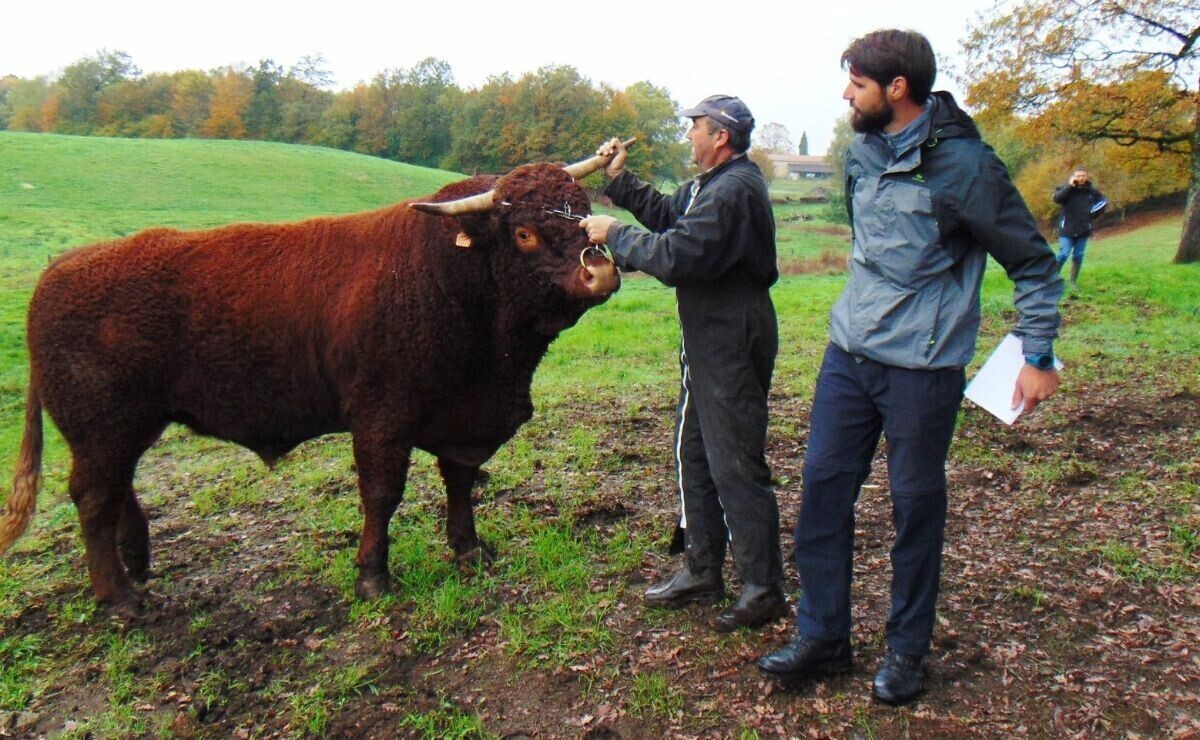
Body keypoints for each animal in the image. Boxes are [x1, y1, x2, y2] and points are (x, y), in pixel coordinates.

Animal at [2, 146, 628, 614]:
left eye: (581, 209)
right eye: (524, 233)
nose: (600, 271)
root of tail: (62, 266)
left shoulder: (463, 414)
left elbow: (460, 479)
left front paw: (469, 549)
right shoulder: (382, 415)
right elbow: (382, 493)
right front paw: (373, 576)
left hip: (126, 426)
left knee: (118, 488)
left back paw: (137, 561)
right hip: (101, 427)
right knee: (93, 497)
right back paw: (118, 598)